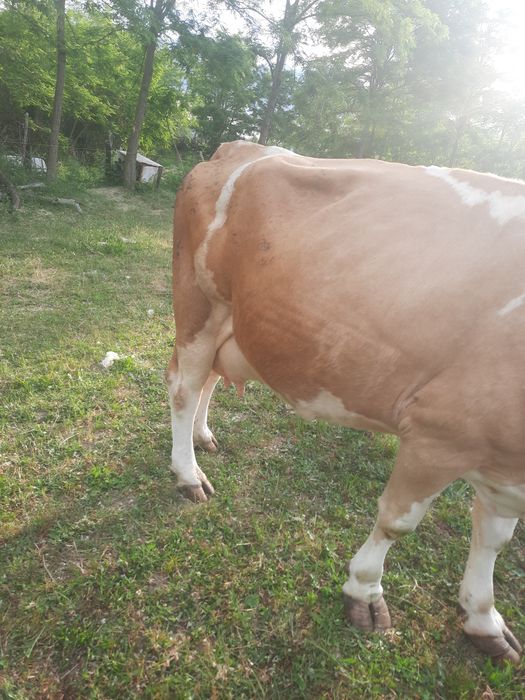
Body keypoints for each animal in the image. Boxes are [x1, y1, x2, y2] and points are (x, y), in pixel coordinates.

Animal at [166, 140, 525, 664]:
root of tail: (243, 146)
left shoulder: (504, 462)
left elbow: (495, 539)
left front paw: (484, 619)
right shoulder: (438, 435)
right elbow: (397, 522)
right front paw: (365, 592)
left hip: (235, 318)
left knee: (209, 378)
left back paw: (202, 436)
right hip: (197, 301)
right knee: (183, 386)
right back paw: (188, 473)